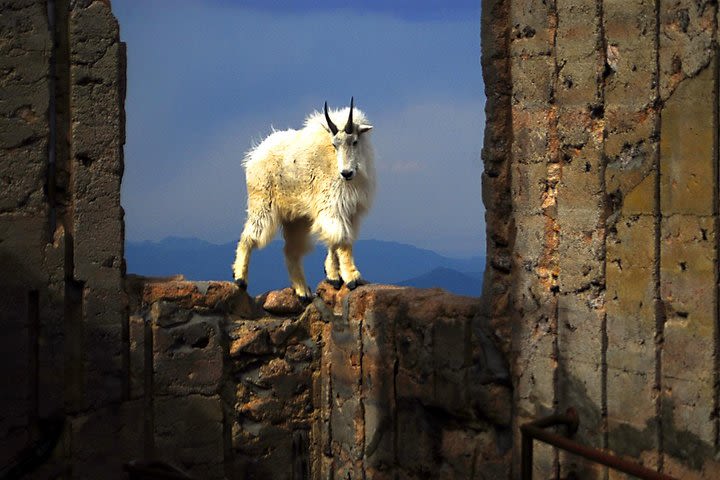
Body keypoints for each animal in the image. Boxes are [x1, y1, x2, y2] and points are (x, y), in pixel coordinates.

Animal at [232, 97, 376, 300]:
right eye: (335, 144)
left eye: (354, 141)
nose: (346, 173)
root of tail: (254, 156)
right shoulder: (332, 205)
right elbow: (342, 239)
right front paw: (352, 278)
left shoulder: (349, 210)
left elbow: (335, 241)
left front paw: (333, 276)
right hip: (262, 204)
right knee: (249, 236)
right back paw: (240, 278)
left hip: (296, 218)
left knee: (291, 251)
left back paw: (303, 291)